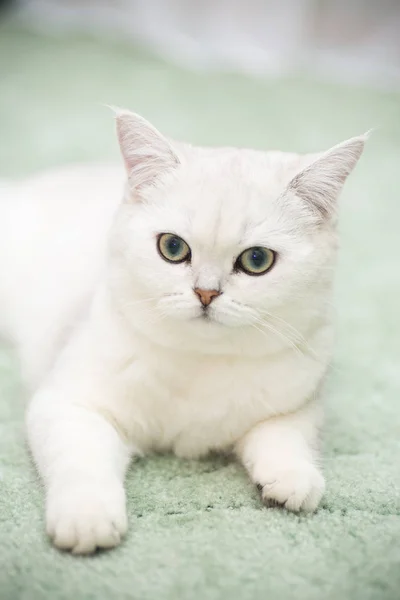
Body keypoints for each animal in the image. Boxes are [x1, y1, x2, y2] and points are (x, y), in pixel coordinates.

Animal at [0, 111, 368, 552]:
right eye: (173, 248)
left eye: (257, 260)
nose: (206, 293)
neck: (199, 362)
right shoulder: (68, 404)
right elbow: (81, 462)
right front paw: (86, 517)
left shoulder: (299, 404)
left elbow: (284, 437)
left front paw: (294, 479)